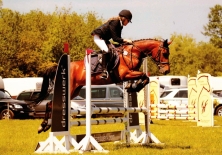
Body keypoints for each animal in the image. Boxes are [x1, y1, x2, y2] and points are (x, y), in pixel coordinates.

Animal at [37, 37, 171, 133]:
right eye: (165, 53)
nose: (166, 71)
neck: (131, 53)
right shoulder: (126, 74)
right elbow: (144, 76)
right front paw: (135, 86)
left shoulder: (130, 74)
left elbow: (145, 78)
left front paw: (132, 86)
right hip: (69, 89)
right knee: (50, 104)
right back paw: (43, 126)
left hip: (75, 91)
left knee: (51, 104)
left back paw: (46, 125)